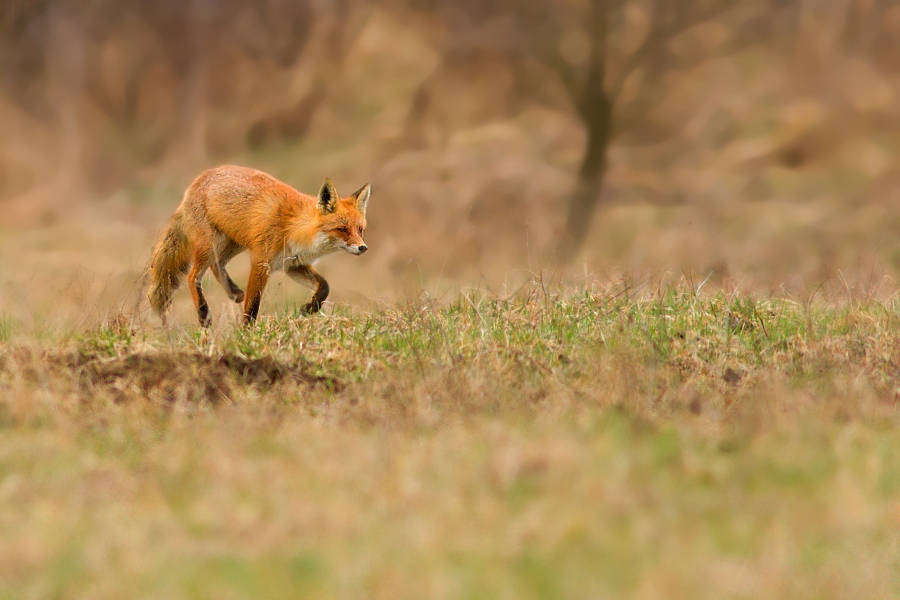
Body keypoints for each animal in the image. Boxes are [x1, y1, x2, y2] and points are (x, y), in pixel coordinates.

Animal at [147, 164, 370, 326]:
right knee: (193, 276)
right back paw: (204, 315)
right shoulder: (262, 263)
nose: (363, 248)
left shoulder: (293, 265)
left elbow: (324, 286)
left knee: (217, 265)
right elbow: (252, 305)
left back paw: (233, 292)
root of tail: (194, 183)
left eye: (360, 230)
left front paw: (311, 308)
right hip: (210, 245)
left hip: (233, 243)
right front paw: (246, 333)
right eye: (342, 229)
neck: (294, 227)